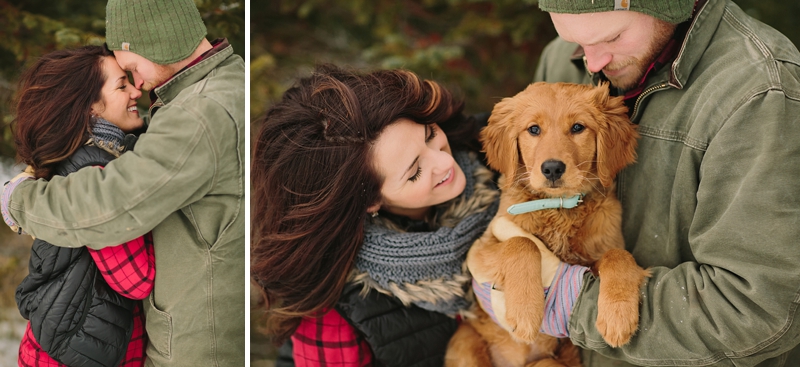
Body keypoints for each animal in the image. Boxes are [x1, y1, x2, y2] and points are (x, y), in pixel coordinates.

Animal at [446, 82, 652, 366]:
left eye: (577, 127)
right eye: (534, 129)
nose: (552, 168)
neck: (558, 208)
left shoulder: (599, 252)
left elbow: (618, 255)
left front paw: (618, 317)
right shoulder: (481, 249)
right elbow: (522, 242)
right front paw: (525, 312)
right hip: (466, 343)